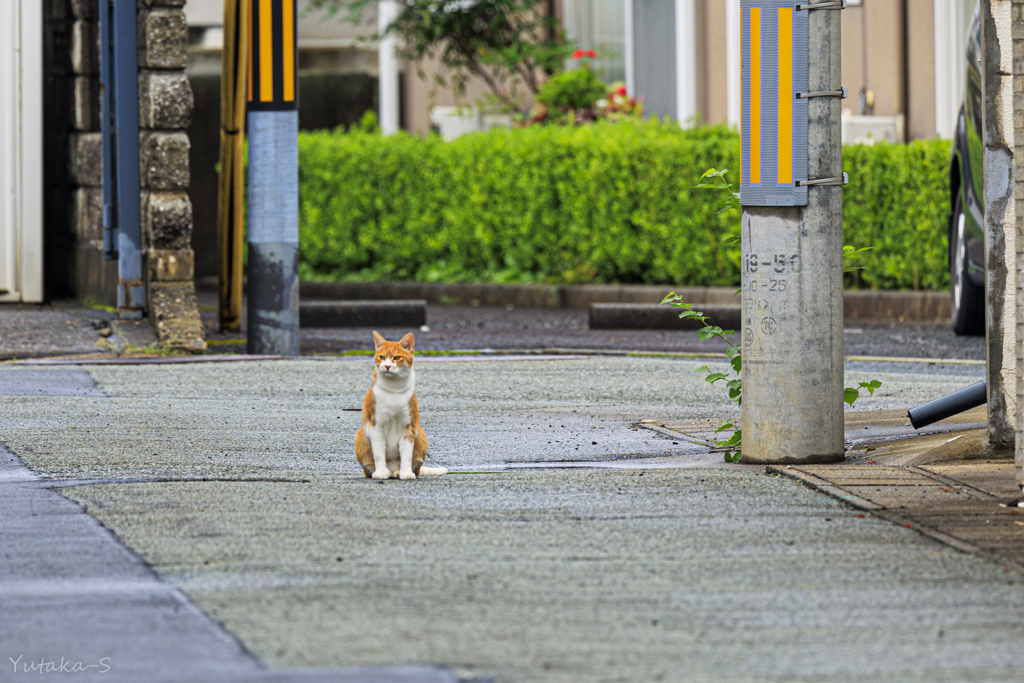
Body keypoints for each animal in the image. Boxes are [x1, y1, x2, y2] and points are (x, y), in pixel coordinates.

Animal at [354, 331, 446, 481]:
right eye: (382, 357)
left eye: (396, 357)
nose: (386, 366)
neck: (394, 389)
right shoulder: (375, 425)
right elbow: (379, 453)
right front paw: (380, 472)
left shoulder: (409, 427)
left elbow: (407, 455)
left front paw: (406, 473)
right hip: (360, 435)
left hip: (421, 433)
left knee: (416, 469)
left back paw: (398, 472)